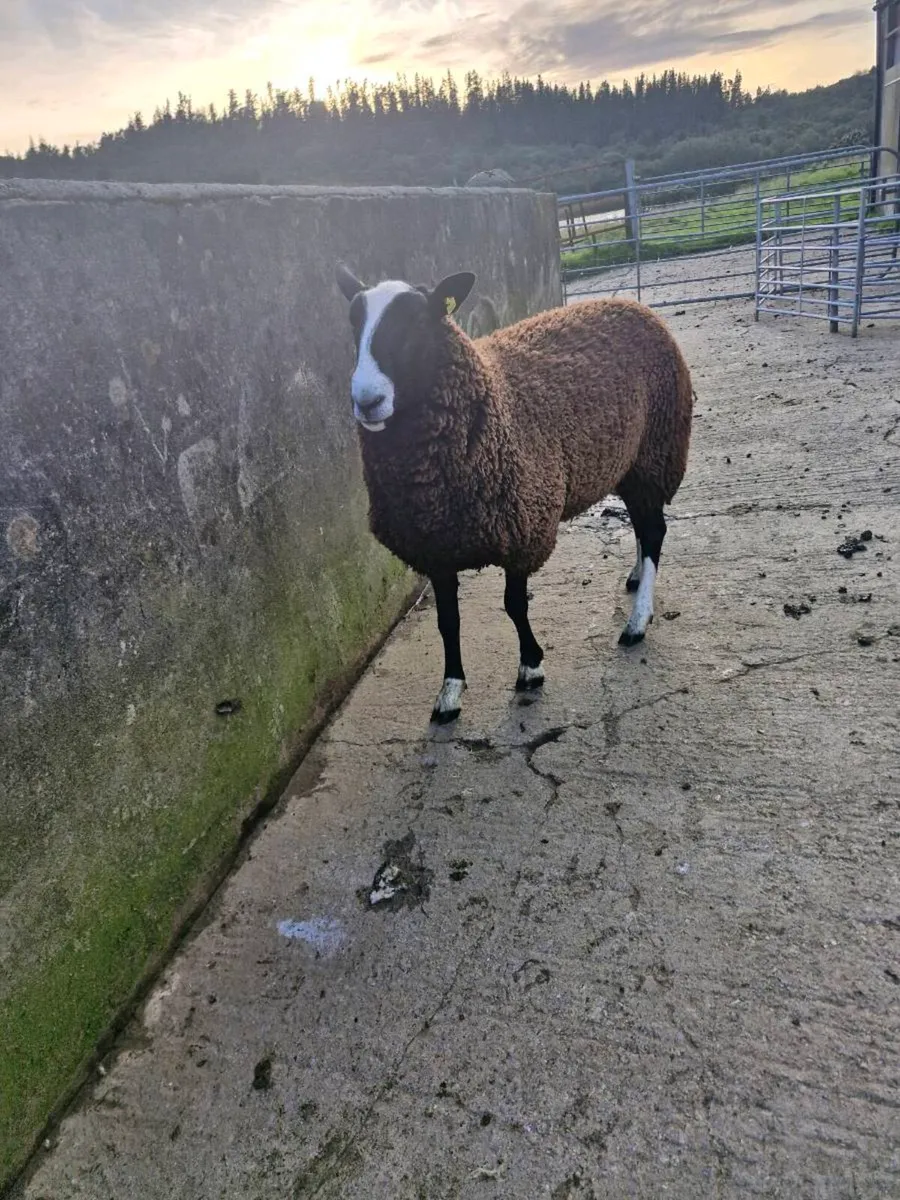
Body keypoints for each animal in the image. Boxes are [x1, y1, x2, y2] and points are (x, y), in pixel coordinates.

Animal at [335, 263, 693, 724]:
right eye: (352, 321)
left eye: (418, 321)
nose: (368, 400)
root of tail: (632, 304)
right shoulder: (435, 547)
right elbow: (447, 622)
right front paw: (450, 692)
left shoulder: (524, 525)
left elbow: (514, 605)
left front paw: (530, 666)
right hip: (627, 461)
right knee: (641, 526)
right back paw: (634, 578)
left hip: (655, 449)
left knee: (653, 532)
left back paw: (637, 621)